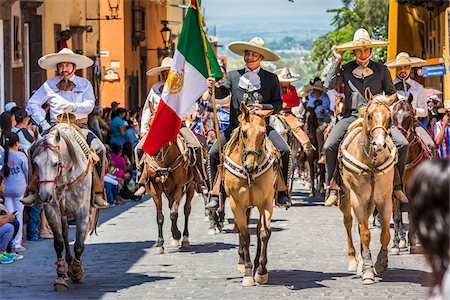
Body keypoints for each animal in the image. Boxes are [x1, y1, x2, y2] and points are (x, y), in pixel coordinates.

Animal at [31, 124, 97, 290]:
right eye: (35, 164)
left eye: (55, 163)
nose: (44, 196)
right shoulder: (52, 210)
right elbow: (59, 242)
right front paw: (61, 276)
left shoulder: (82, 212)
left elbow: (79, 244)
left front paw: (77, 272)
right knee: (66, 232)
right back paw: (69, 262)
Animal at [224, 104, 278, 288]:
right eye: (244, 132)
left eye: (263, 133)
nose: (250, 166)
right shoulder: (236, 204)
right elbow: (245, 235)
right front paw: (248, 273)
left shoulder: (266, 202)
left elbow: (264, 233)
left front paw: (261, 271)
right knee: (242, 231)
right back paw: (243, 263)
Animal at [340, 93, 400, 284]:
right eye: (370, 115)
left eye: (390, 118)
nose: (379, 145)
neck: (371, 163)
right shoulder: (357, 199)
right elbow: (365, 233)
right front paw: (367, 271)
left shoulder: (384, 200)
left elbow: (385, 233)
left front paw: (380, 264)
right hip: (346, 199)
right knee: (349, 222)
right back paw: (354, 261)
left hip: (370, 203)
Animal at [390, 99, 432, 254]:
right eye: (393, 116)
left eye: (408, 116)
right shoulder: (395, 191)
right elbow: (397, 216)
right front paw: (395, 244)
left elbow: (412, 215)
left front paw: (414, 242)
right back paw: (402, 241)